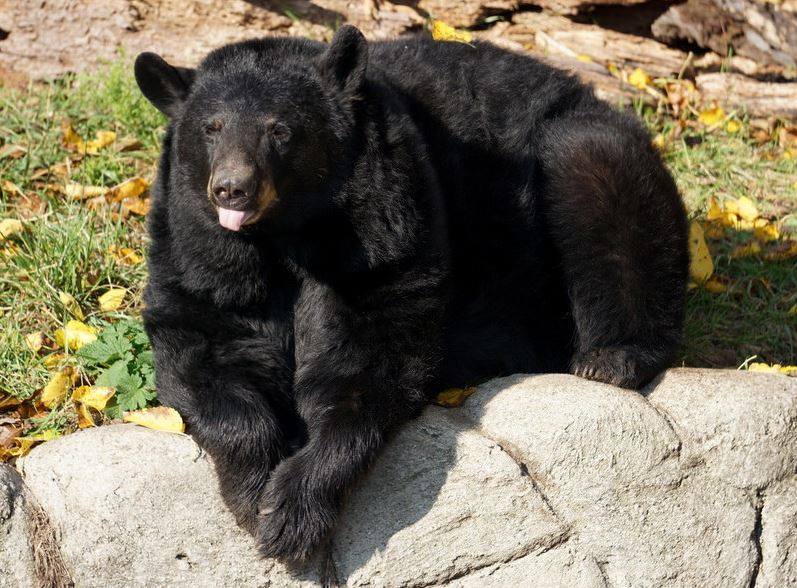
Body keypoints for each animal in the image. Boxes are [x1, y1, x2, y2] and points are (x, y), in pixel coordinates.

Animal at [134, 25, 688, 564]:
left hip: (584, 148)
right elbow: (205, 350)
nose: (232, 188)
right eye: (211, 128)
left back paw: (611, 358)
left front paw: (291, 512)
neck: (285, 237)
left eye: (280, 130)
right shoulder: (196, 254)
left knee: (605, 188)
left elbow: (371, 357)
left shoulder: (386, 229)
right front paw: (254, 493)